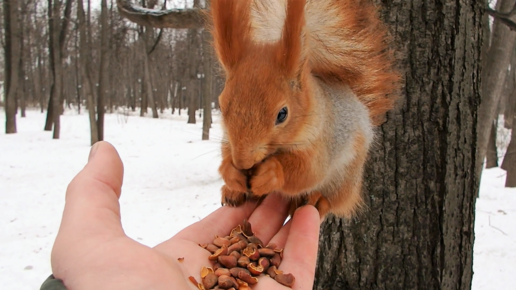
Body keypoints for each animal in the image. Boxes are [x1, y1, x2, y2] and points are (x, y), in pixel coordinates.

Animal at [209, 0, 400, 218]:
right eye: (221, 105)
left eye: (282, 114)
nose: (243, 162)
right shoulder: (228, 139)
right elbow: (226, 151)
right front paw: (230, 173)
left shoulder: (322, 140)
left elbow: (309, 171)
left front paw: (272, 172)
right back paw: (233, 192)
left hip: (345, 177)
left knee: (336, 199)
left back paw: (318, 200)